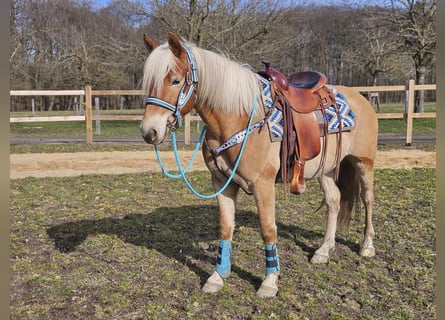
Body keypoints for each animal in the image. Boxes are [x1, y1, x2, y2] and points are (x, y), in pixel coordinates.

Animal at [140, 31, 376, 298]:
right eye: (149, 81)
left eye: (176, 80)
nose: (149, 131)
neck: (239, 118)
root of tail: (360, 98)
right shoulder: (222, 183)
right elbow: (225, 227)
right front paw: (217, 276)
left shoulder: (263, 186)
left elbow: (268, 229)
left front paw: (269, 282)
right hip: (325, 169)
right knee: (333, 201)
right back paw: (323, 251)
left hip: (364, 163)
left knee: (368, 199)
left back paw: (367, 246)